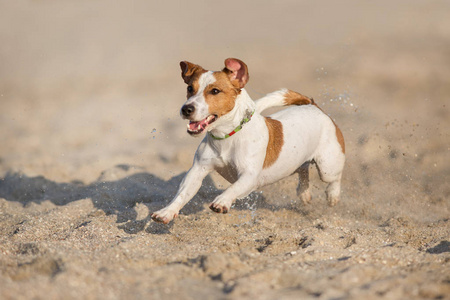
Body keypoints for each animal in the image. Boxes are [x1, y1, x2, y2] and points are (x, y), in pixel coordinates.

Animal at [151, 58, 344, 225]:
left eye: (215, 91)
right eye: (190, 88)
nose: (186, 109)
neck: (226, 136)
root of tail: (313, 105)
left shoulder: (249, 176)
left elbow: (234, 188)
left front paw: (222, 201)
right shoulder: (198, 170)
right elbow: (183, 193)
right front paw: (166, 212)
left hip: (327, 166)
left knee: (334, 177)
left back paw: (333, 196)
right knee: (303, 169)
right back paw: (304, 193)